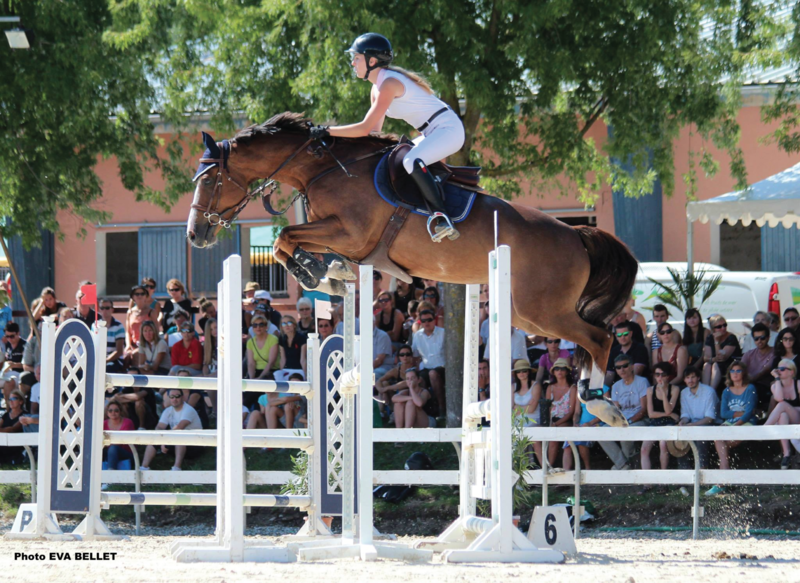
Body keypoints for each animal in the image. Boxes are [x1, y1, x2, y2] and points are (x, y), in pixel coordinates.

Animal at [186, 112, 638, 384]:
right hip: (527, 314)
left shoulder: (350, 233)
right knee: (590, 338)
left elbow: (286, 236)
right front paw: (329, 276)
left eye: (208, 180)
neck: (324, 168)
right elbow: (288, 241)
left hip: (541, 310)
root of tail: (577, 236)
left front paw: (316, 273)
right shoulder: (338, 234)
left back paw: (599, 404)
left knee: (600, 338)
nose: (194, 234)